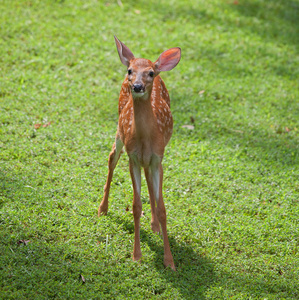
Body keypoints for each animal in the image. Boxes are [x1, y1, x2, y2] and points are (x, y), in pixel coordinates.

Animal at [99, 35, 182, 270]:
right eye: (130, 70)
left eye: (150, 73)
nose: (136, 86)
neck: (146, 138)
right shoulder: (133, 157)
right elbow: (136, 206)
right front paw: (137, 255)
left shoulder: (157, 157)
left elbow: (163, 208)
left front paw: (169, 261)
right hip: (119, 130)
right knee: (111, 158)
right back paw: (102, 208)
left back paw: (154, 224)